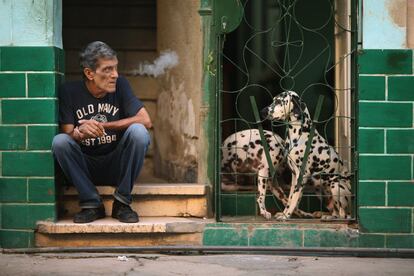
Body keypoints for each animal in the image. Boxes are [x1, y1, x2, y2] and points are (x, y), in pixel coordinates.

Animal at [264, 90, 350, 220]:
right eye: (274, 100)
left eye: (279, 101)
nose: (263, 111)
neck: (299, 134)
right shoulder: (294, 175)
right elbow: (291, 198)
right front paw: (286, 213)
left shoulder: (302, 175)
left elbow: (294, 198)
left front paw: (286, 215)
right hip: (319, 190)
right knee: (334, 211)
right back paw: (322, 214)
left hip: (336, 185)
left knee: (342, 215)